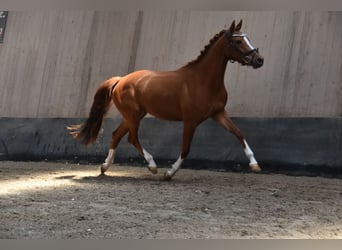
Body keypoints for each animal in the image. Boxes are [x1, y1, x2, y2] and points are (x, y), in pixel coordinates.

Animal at [68, 20, 264, 180]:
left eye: (247, 38)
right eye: (238, 41)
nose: (259, 60)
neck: (202, 80)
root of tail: (120, 80)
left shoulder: (218, 113)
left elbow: (239, 133)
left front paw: (254, 164)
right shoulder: (191, 121)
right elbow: (185, 149)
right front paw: (169, 173)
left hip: (133, 116)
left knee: (116, 135)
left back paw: (104, 167)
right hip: (133, 116)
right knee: (132, 138)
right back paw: (152, 166)